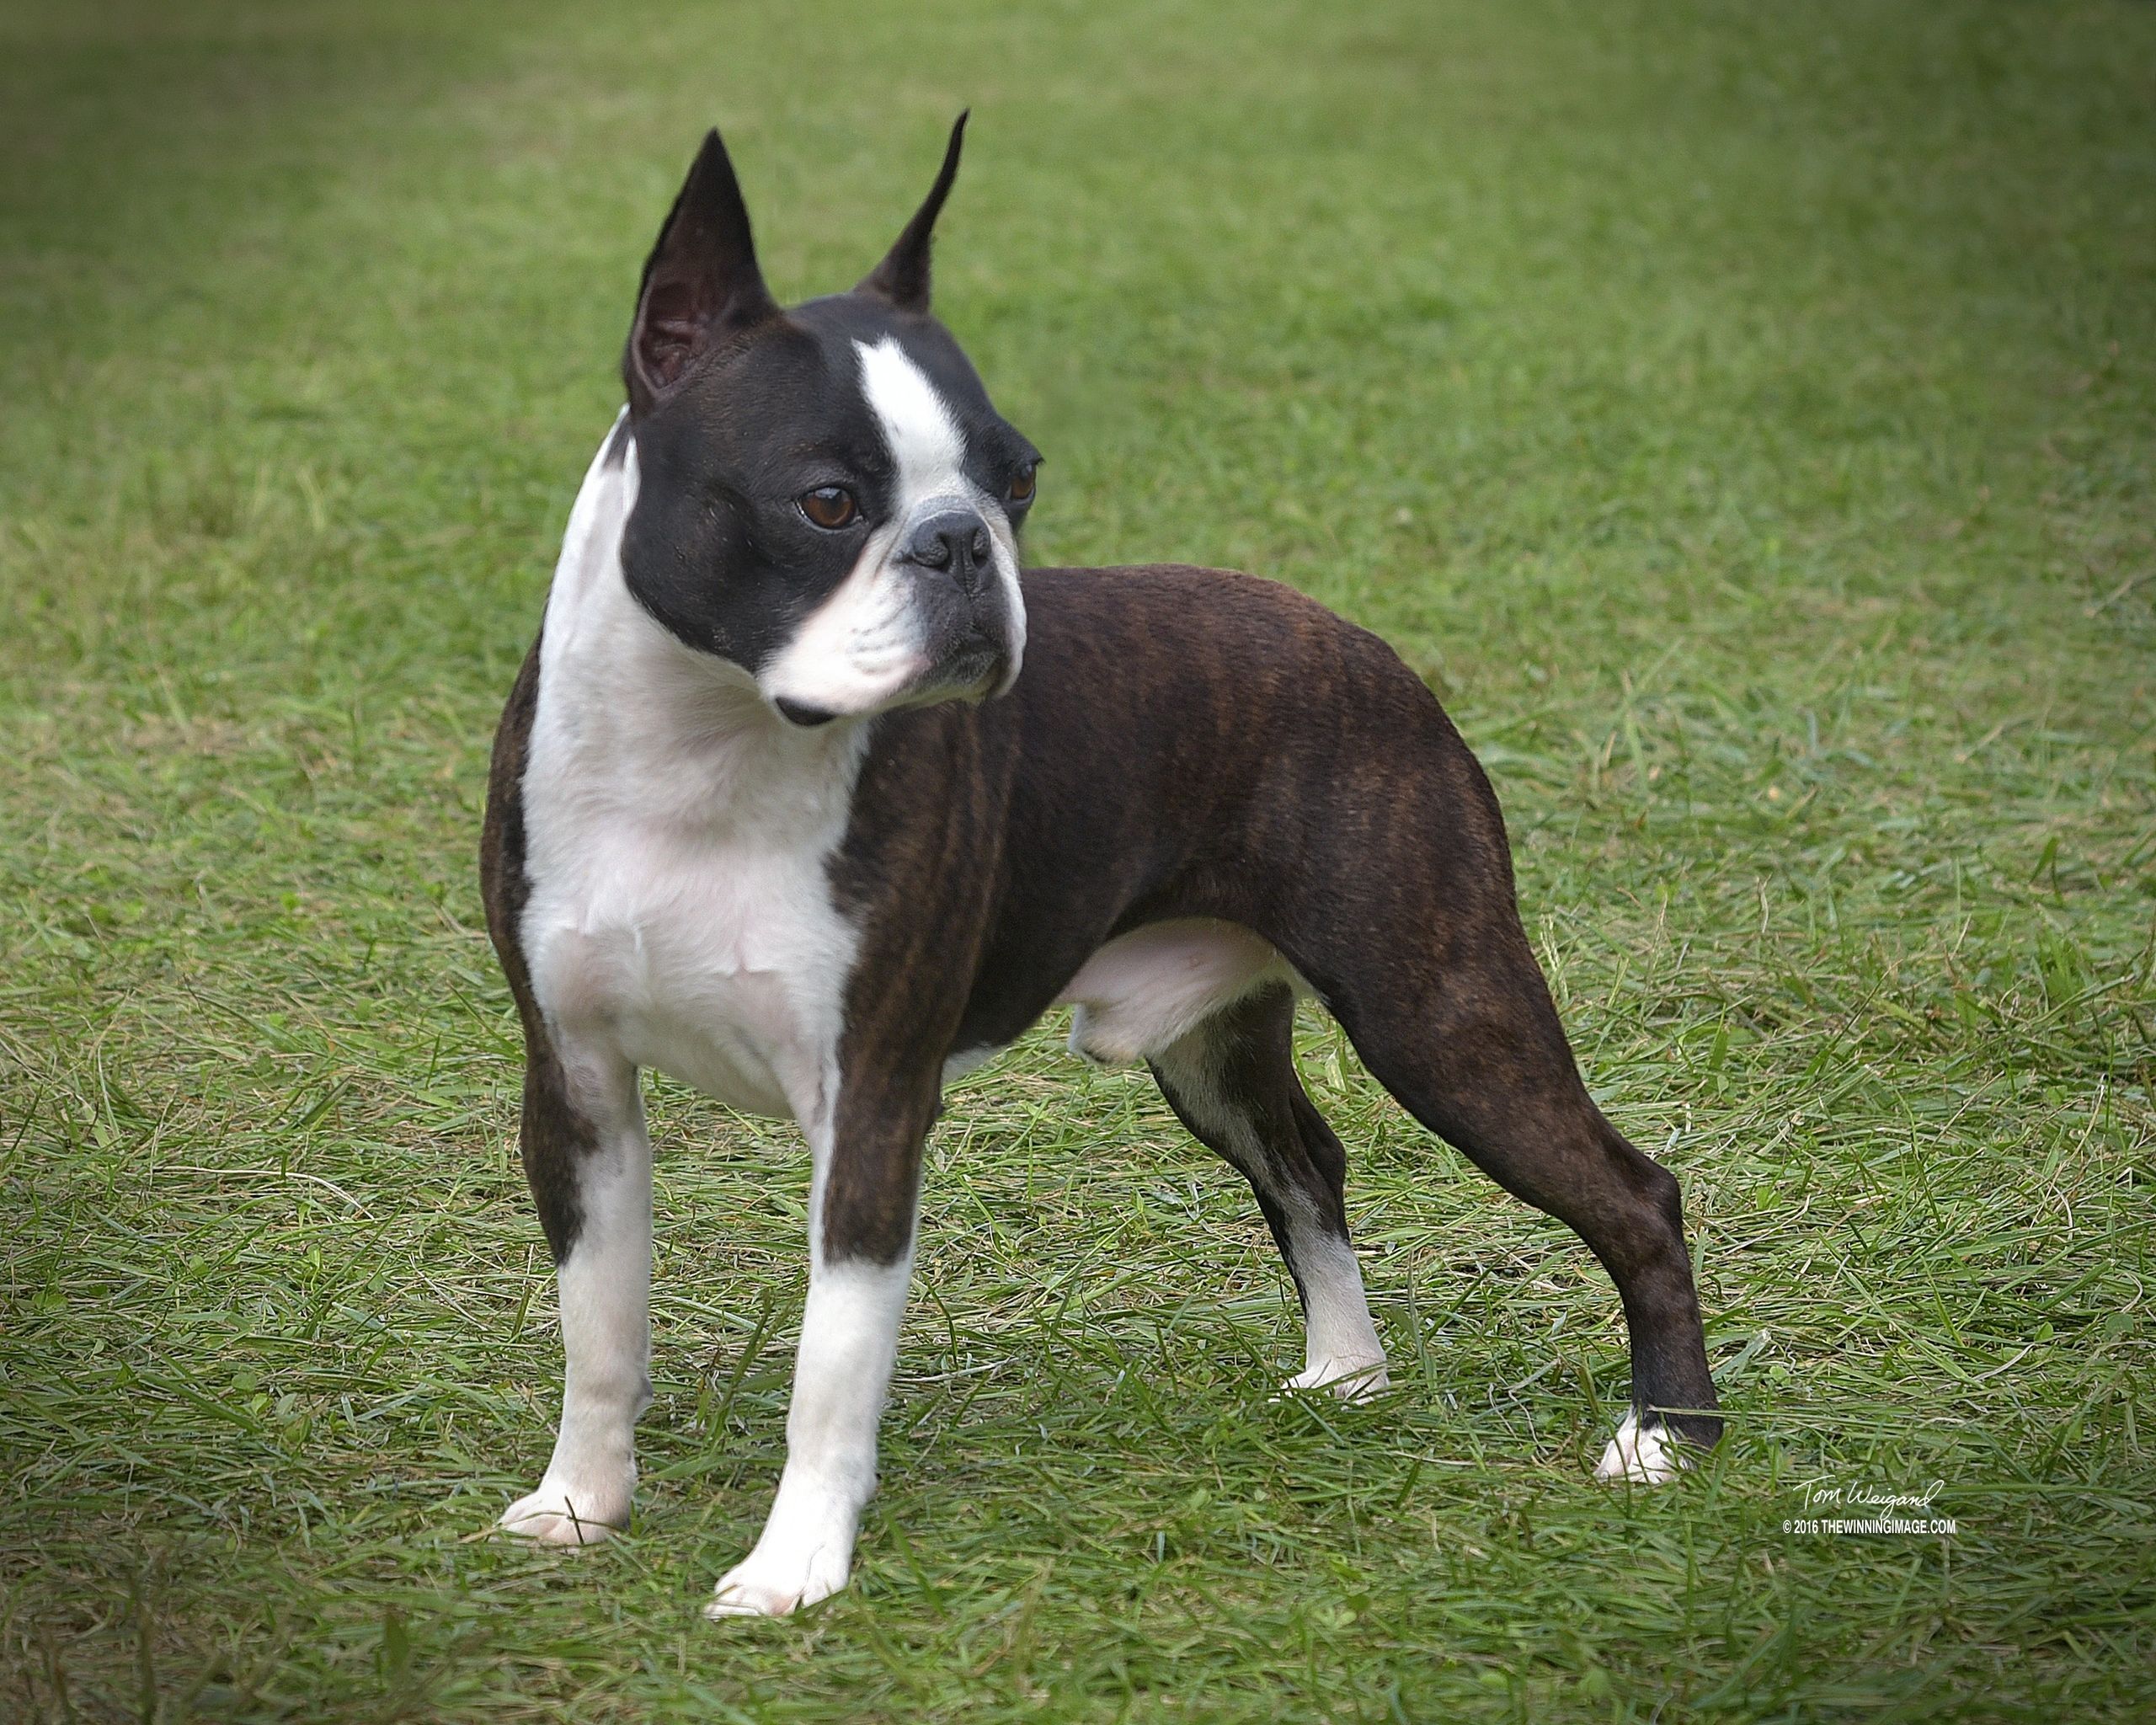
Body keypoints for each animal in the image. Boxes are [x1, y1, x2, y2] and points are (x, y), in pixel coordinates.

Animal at [485, 121, 1716, 1621]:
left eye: (1017, 480)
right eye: (826, 503)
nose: (962, 541)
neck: (709, 748)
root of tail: (1363, 644)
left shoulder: (872, 1102)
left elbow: (831, 1367)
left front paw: (793, 1571)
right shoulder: (578, 1086)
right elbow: (599, 1331)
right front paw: (580, 1505)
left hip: (1441, 1007)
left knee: (1634, 1194)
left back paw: (1666, 1440)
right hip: (1215, 1047)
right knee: (1308, 1160)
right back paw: (1346, 1373)